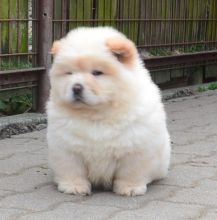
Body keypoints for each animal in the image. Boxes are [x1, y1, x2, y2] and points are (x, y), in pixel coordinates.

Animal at [46, 26, 170, 197]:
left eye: (97, 73)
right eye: (69, 73)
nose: (76, 87)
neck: (96, 114)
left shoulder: (135, 148)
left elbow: (131, 171)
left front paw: (130, 188)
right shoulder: (67, 148)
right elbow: (72, 169)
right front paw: (73, 186)